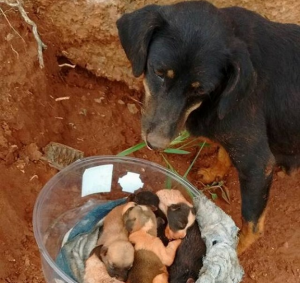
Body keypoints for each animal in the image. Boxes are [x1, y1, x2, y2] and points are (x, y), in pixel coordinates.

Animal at [116, 0, 300, 255]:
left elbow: (251, 226)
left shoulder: (258, 164)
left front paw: (232, 252)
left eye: (200, 90)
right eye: (159, 72)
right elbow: (223, 152)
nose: (155, 144)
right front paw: (214, 172)